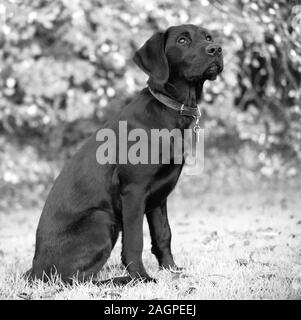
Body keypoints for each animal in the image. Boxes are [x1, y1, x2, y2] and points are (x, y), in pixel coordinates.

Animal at [26, 25, 223, 284]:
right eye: (182, 40)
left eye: (208, 37)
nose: (217, 49)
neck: (169, 110)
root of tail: (34, 269)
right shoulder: (134, 192)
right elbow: (134, 241)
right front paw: (142, 277)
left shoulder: (158, 196)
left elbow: (163, 235)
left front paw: (171, 269)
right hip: (101, 219)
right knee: (75, 280)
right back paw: (122, 280)